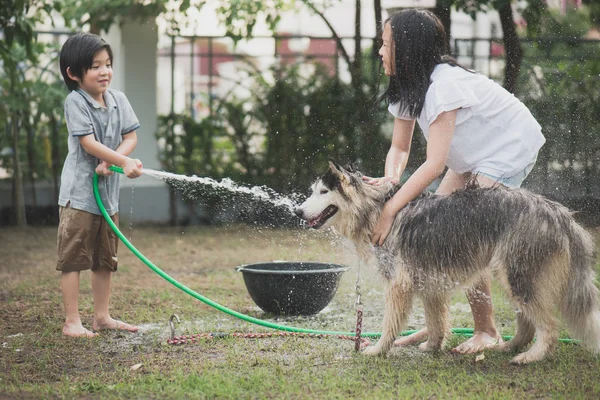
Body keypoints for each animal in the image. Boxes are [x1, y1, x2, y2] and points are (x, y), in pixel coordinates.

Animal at [294, 161, 600, 364]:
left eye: (323, 192)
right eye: (314, 191)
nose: (296, 210)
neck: (376, 209)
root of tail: (560, 213)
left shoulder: (398, 284)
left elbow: (390, 324)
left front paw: (378, 349)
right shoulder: (430, 280)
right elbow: (436, 320)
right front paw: (432, 346)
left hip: (518, 277)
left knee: (549, 326)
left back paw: (531, 356)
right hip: (512, 277)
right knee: (527, 322)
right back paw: (507, 347)